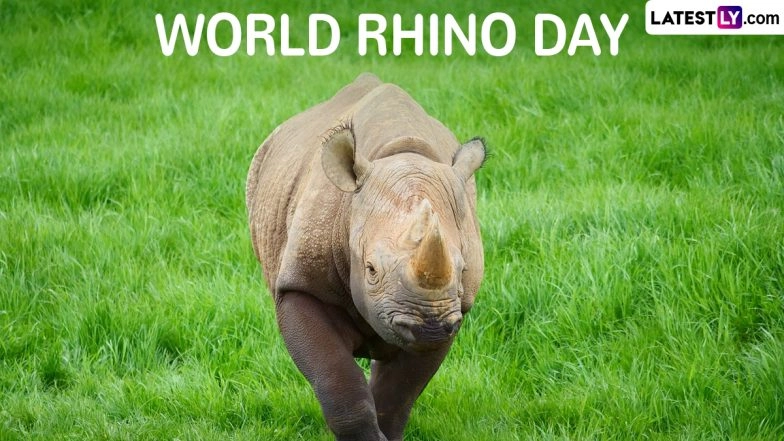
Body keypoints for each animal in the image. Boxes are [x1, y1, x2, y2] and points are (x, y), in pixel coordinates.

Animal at [245, 73, 486, 441]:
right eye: (370, 269)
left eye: (462, 271)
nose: (428, 327)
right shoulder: (301, 285)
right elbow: (336, 379)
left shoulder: (452, 310)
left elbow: (399, 392)